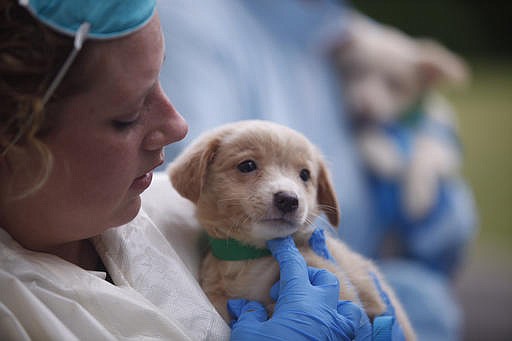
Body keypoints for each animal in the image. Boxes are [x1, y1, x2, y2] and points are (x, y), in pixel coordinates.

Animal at [168, 119, 416, 338]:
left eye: (305, 175)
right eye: (247, 165)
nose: (288, 199)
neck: (252, 258)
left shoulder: (332, 277)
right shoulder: (217, 296)